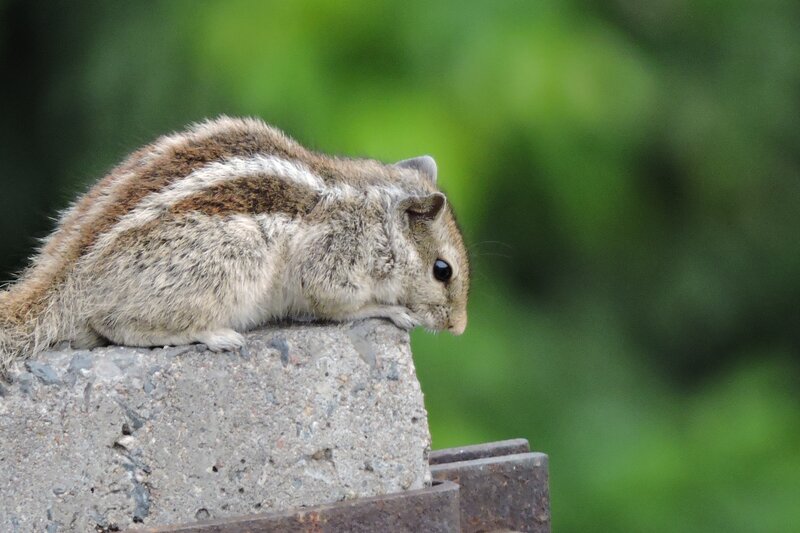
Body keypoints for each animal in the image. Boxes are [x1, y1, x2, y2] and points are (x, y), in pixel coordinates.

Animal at [0, 116, 469, 374]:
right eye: (442, 270)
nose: (459, 328)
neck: (375, 216)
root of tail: (67, 276)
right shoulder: (333, 257)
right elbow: (338, 303)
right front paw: (392, 310)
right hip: (234, 259)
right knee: (119, 326)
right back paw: (213, 335)